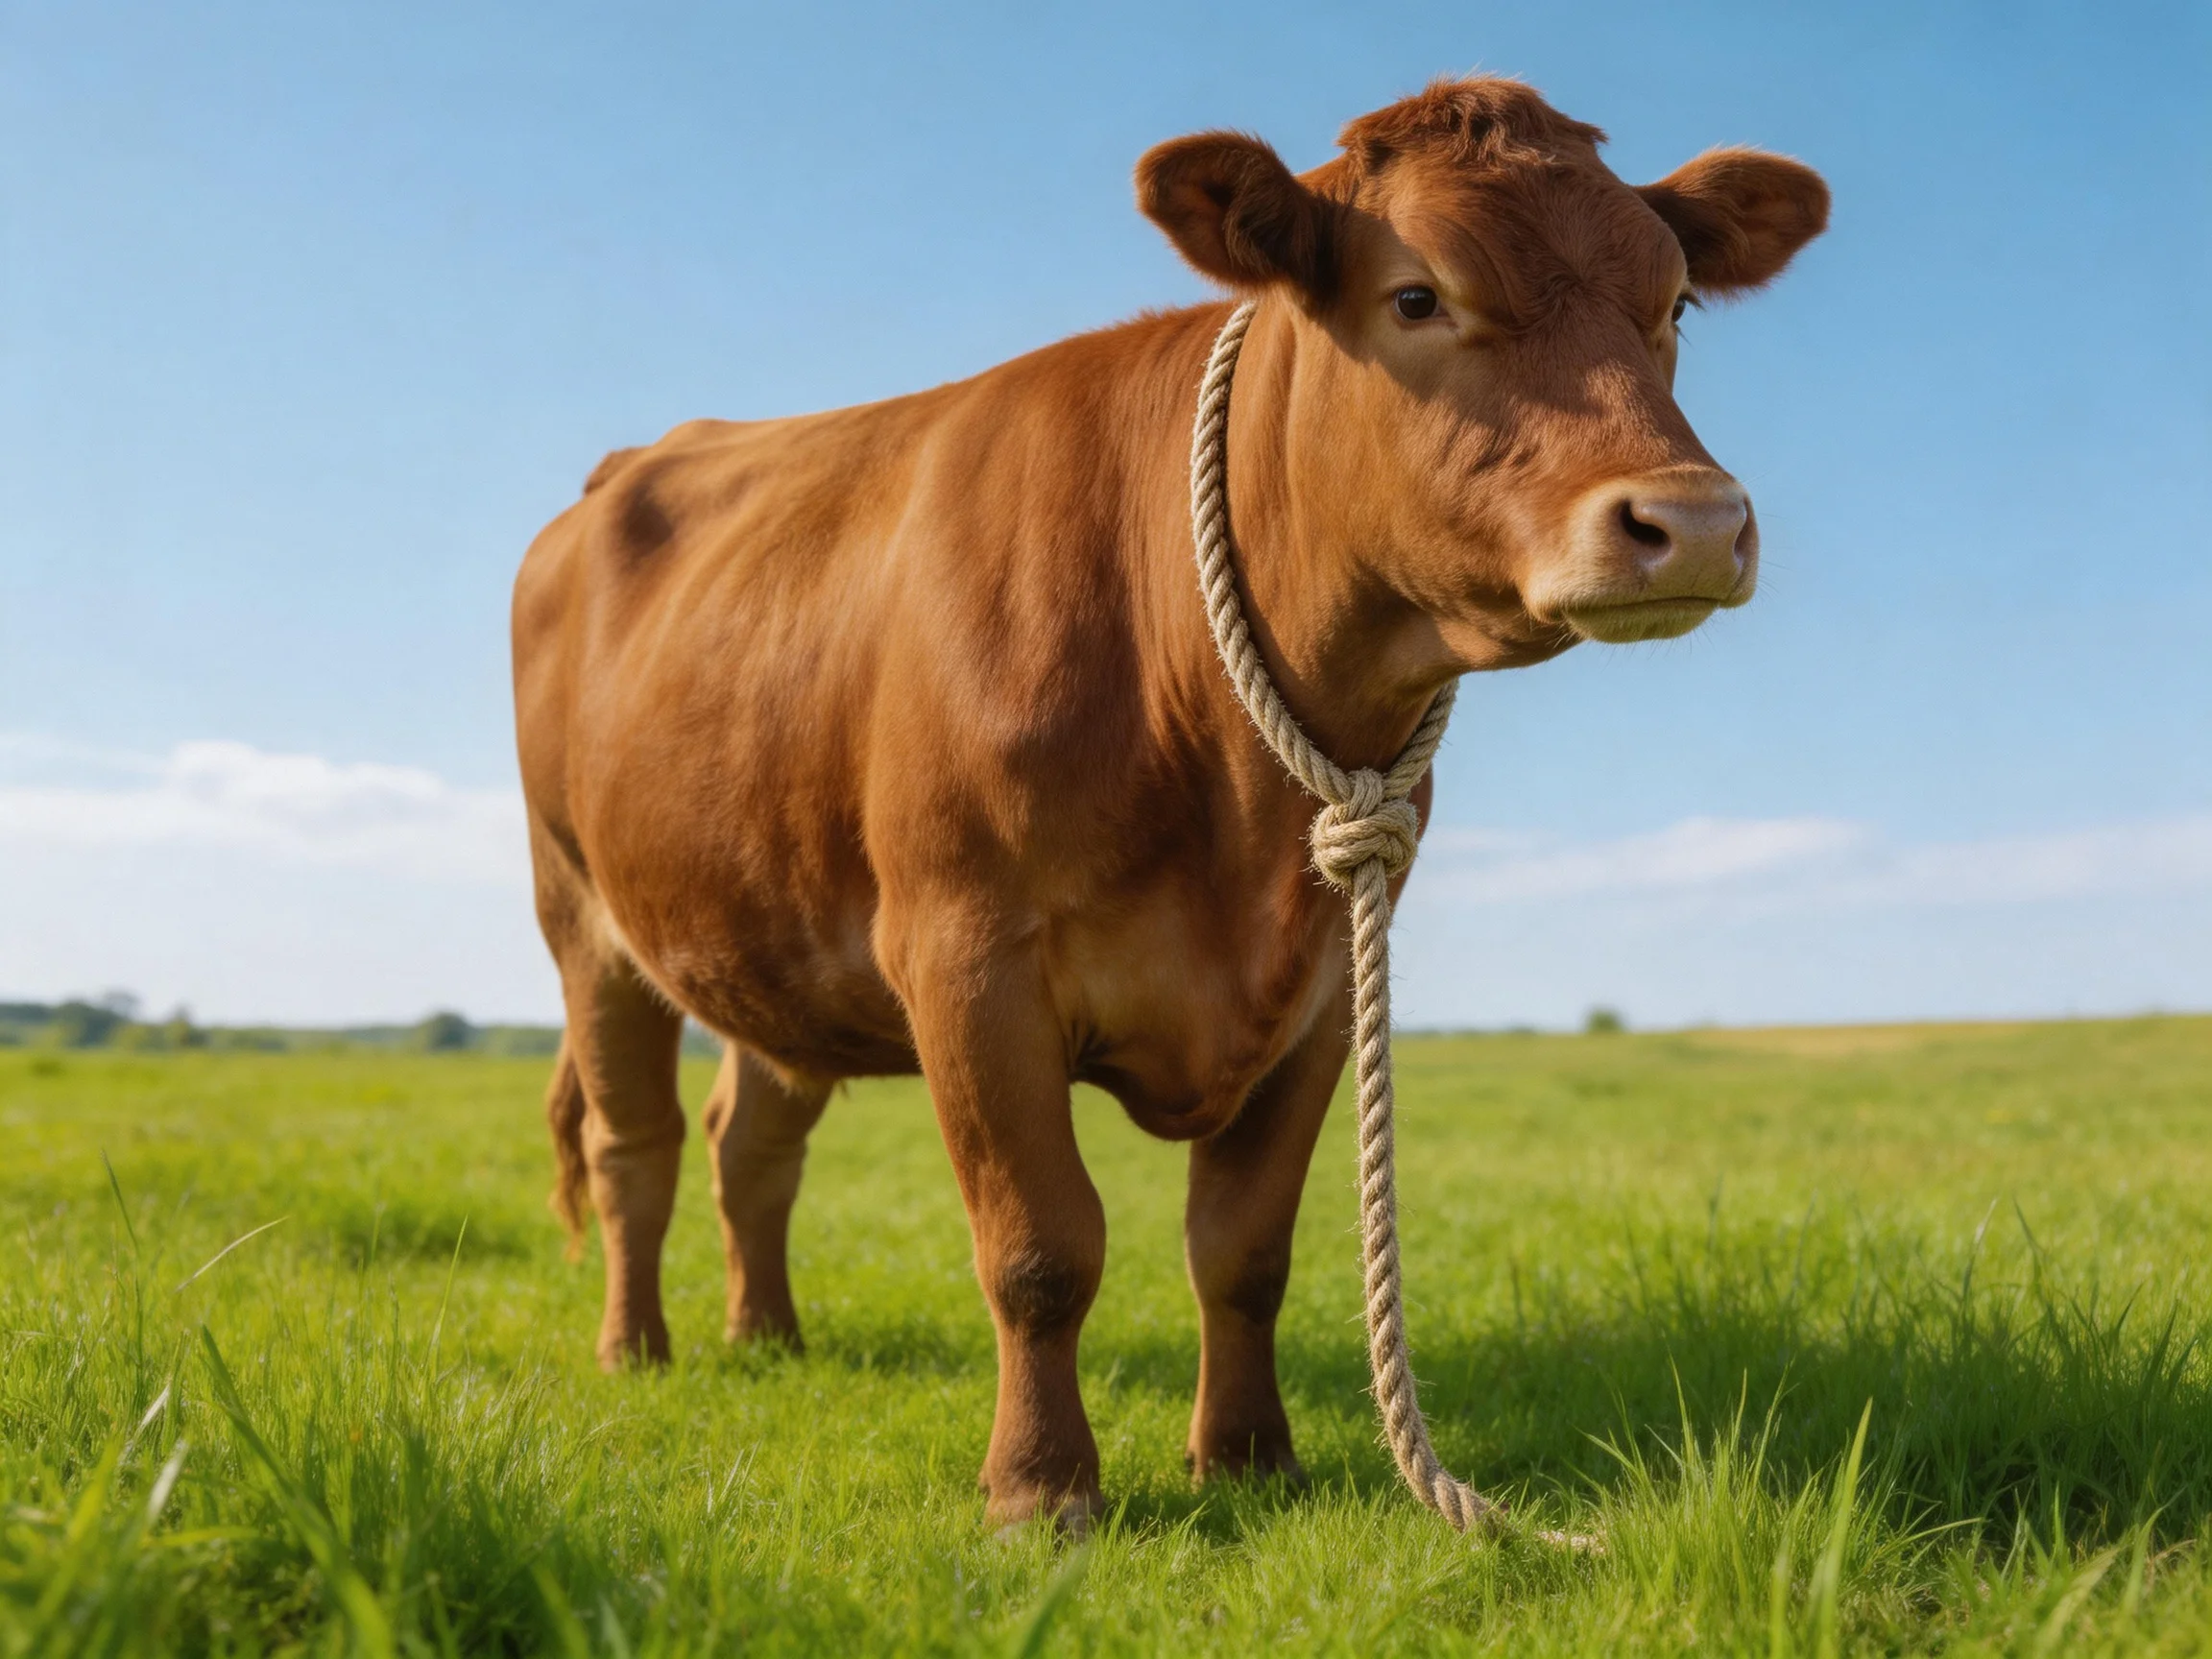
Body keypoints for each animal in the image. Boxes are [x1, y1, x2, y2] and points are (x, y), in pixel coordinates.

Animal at [511, 75, 1828, 1530]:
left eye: (1677, 305)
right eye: (1416, 294)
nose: (1691, 521)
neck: (1223, 776)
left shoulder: (1323, 978)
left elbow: (1242, 1249)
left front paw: (1250, 1457)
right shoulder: (964, 956)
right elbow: (1041, 1248)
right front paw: (1040, 1491)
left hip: (773, 925)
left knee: (751, 1138)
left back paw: (770, 1337)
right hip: (585, 917)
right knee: (633, 1144)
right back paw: (638, 1351)